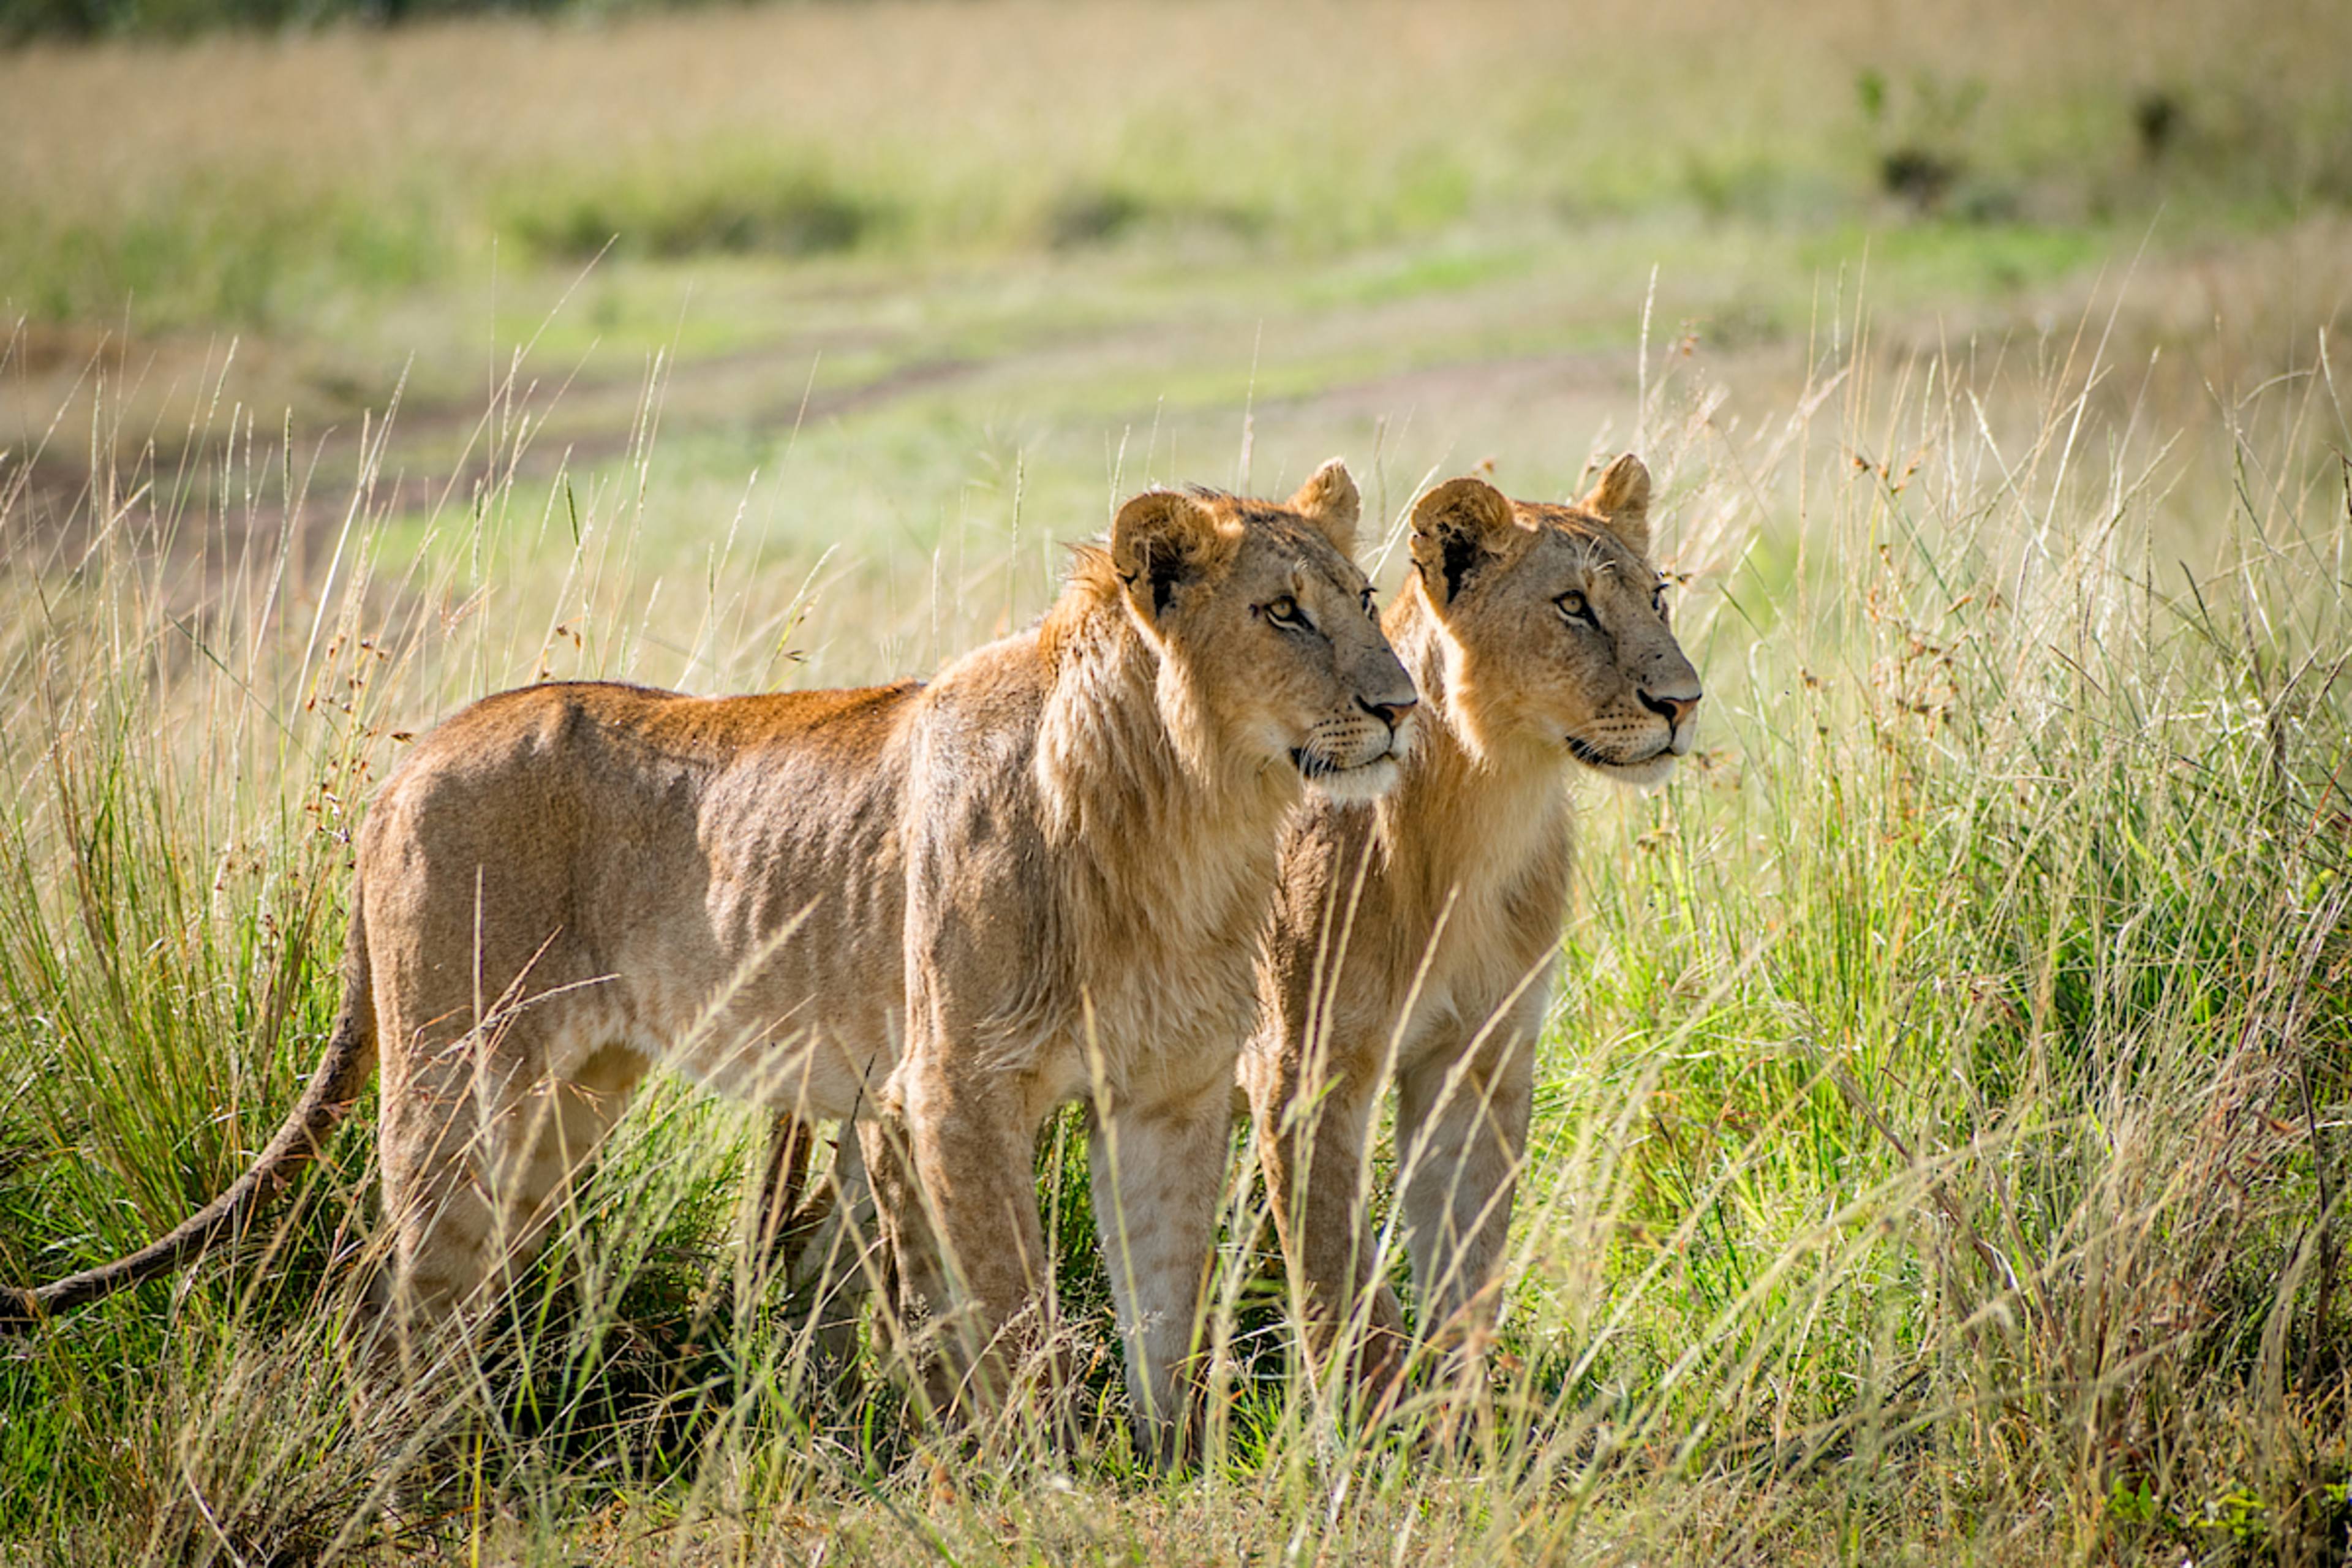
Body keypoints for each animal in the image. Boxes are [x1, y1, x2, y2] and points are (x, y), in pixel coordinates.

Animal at [2, 461, 1417, 1450]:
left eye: (1365, 601)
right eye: (1283, 614)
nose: (1404, 703)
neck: (1188, 812)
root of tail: (415, 756)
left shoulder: (1170, 1092)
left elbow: (1165, 1311)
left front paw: (1166, 1469)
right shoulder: (952, 1086)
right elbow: (1009, 1319)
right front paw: (1055, 1480)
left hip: (563, 1101)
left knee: (423, 1287)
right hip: (460, 1078)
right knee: (381, 1284)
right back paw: (398, 1476)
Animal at [1240, 456, 1700, 1399]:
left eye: (1657, 596)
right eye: (1573, 605)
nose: (1684, 703)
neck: (1485, 812)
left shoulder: (1481, 1056)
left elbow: (1469, 1259)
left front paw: (1461, 1408)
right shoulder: (1300, 1066)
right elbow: (1341, 1275)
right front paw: (1372, 1414)